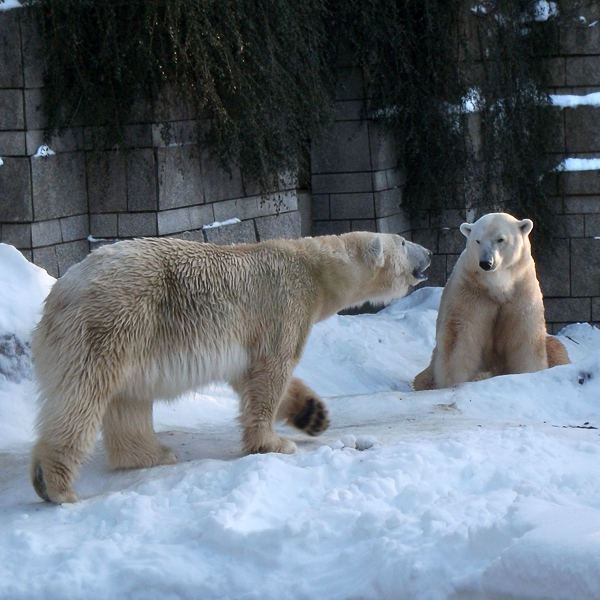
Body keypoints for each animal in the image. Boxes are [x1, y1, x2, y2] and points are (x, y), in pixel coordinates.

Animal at [30, 232, 432, 504]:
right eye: (402, 241)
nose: (428, 252)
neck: (314, 269)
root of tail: (59, 293)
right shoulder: (284, 305)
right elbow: (272, 369)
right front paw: (273, 443)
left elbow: (252, 377)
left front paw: (313, 414)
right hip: (114, 322)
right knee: (84, 396)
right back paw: (55, 484)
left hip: (129, 336)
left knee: (128, 400)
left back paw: (153, 454)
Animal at [414, 213, 568, 392]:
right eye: (478, 240)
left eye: (500, 239)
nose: (486, 263)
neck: (497, 285)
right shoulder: (471, 291)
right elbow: (459, 337)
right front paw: (454, 383)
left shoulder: (521, 290)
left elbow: (525, 333)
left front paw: (529, 374)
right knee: (423, 378)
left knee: (555, 348)